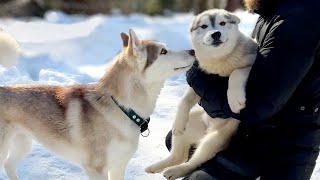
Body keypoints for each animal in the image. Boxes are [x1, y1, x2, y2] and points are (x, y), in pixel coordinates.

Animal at [0, 28, 195, 179]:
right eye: (163, 51)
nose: (193, 51)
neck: (122, 107)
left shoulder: (118, 166)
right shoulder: (96, 169)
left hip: (23, 144)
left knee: (9, 165)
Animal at [146, 9, 258, 179]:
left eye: (222, 23)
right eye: (204, 26)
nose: (216, 34)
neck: (219, 62)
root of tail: (208, 129)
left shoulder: (251, 63)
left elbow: (236, 73)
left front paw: (235, 100)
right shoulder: (200, 84)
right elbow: (185, 99)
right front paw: (178, 121)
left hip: (214, 140)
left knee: (192, 162)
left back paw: (175, 171)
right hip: (191, 122)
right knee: (178, 155)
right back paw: (157, 166)